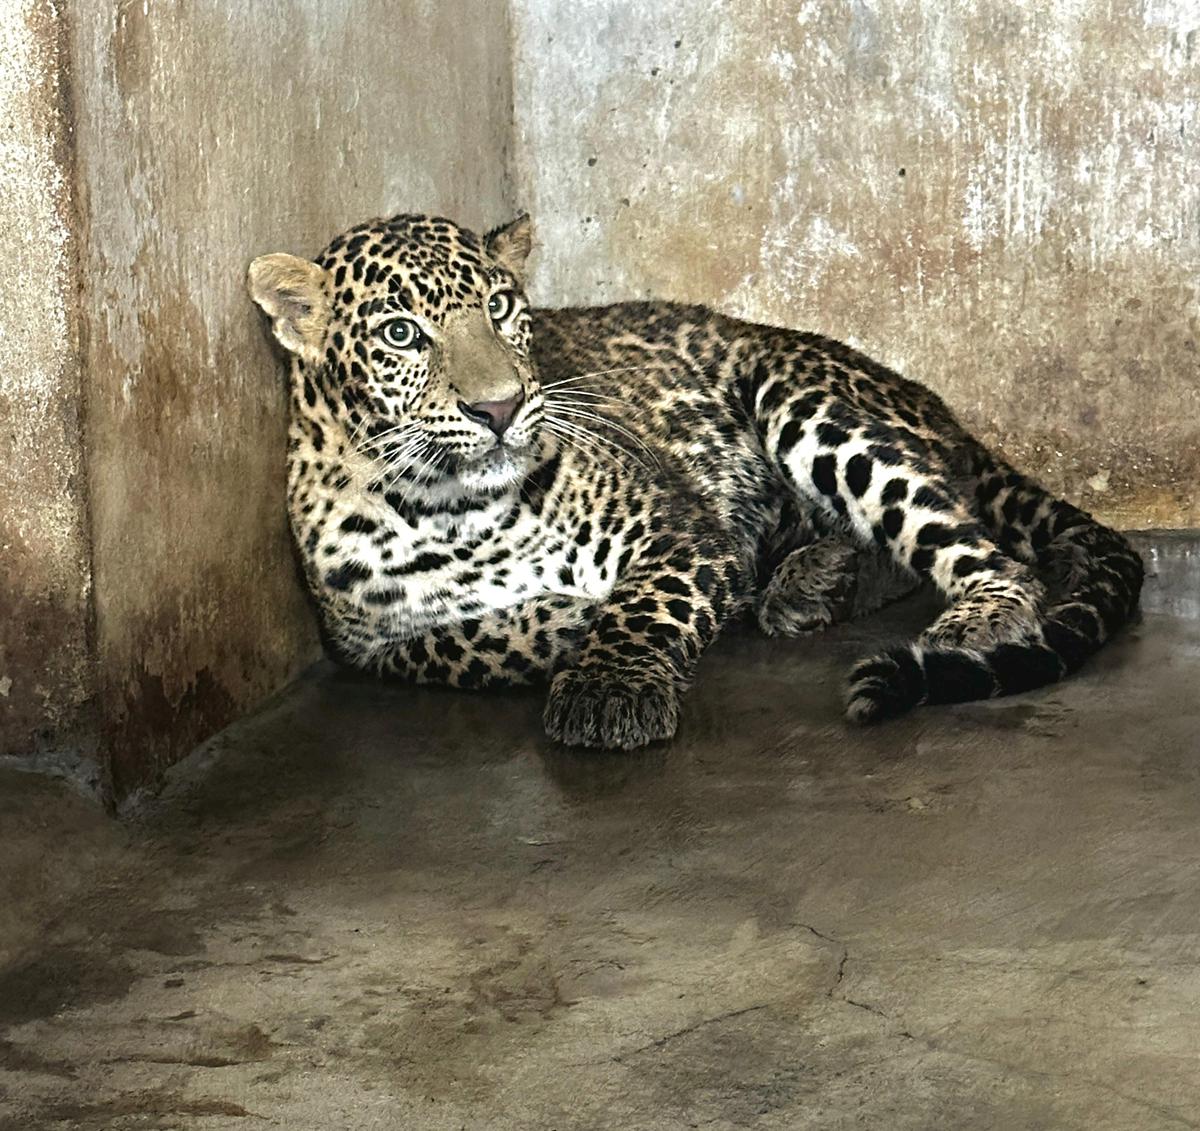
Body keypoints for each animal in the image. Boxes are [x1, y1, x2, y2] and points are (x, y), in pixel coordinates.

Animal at [246, 212, 1142, 754]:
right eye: (402, 334)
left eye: (500, 308)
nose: (500, 406)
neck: (457, 509)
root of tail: (940, 406)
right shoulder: (363, 641)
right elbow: (465, 643)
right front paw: (567, 624)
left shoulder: (680, 527)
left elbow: (643, 605)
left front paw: (607, 686)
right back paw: (813, 581)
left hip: (797, 396)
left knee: (987, 556)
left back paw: (956, 620)